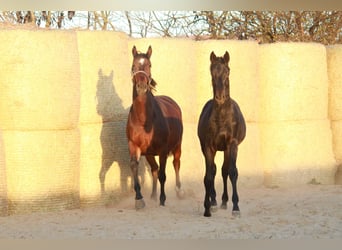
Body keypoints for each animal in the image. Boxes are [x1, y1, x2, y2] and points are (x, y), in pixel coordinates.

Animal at [126, 45, 184, 209]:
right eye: (133, 65)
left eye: (149, 65)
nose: (141, 86)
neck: (144, 120)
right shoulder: (134, 146)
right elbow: (135, 166)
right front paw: (139, 199)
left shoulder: (163, 150)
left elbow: (163, 175)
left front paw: (163, 199)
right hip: (150, 154)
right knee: (154, 169)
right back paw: (152, 195)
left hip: (177, 146)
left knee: (176, 163)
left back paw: (178, 191)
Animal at [198, 50, 246, 217]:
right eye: (212, 71)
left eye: (228, 71)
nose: (219, 97)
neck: (222, 118)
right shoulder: (207, 147)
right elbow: (208, 176)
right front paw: (207, 207)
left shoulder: (232, 144)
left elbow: (232, 172)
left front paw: (236, 207)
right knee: (214, 170)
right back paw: (214, 201)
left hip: (226, 149)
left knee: (225, 171)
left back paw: (225, 201)